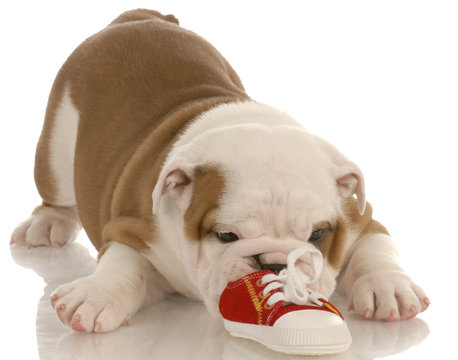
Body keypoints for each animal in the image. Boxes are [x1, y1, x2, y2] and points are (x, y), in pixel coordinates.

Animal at [11, 8, 430, 334]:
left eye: (318, 234)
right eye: (226, 235)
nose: (275, 263)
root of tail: (139, 18)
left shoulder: (360, 218)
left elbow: (376, 249)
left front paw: (390, 288)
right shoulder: (133, 231)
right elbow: (123, 263)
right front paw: (94, 295)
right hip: (55, 145)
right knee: (56, 194)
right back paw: (46, 224)